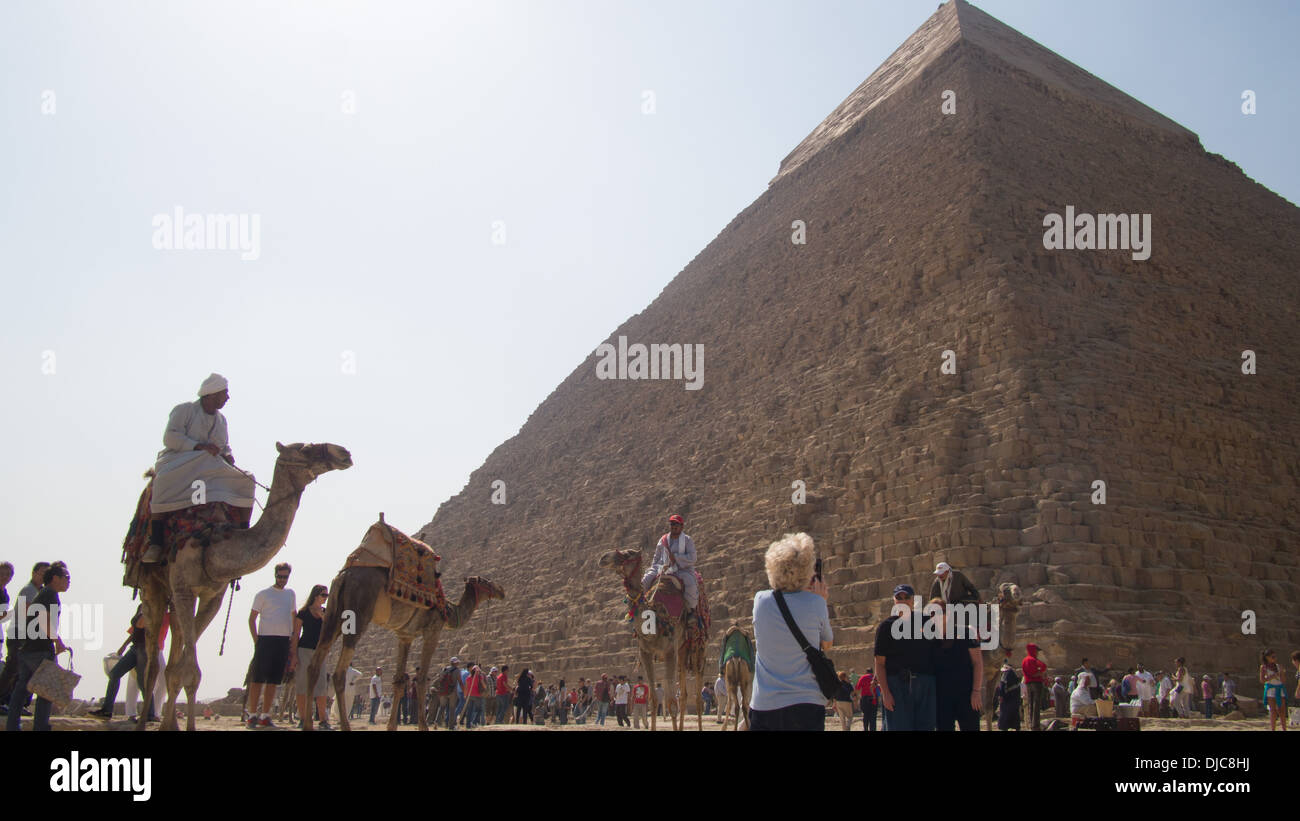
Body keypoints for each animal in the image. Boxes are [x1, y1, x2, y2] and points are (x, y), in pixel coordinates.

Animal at [133, 441, 353, 732]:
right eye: (304, 448)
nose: (343, 453)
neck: (214, 544)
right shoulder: (184, 589)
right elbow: (190, 671)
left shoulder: (212, 596)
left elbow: (184, 669)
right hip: (153, 588)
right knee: (152, 664)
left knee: (172, 659)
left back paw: (170, 724)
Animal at [301, 561, 504, 732]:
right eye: (486, 581)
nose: (501, 590)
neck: (449, 610)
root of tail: (343, 577)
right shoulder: (432, 631)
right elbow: (421, 680)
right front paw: (423, 726)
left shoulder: (405, 636)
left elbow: (398, 681)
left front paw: (391, 726)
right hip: (358, 616)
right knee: (339, 673)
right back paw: (344, 725)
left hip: (331, 617)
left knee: (314, 665)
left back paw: (308, 725)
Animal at [598, 550, 712, 732]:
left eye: (627, 554)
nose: (603, 558)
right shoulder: (646, 653)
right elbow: (652, 699)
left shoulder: (669, 651)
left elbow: (671, 702)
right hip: (682, 649)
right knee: (684, 693)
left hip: (698, 647)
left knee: (698, 693)